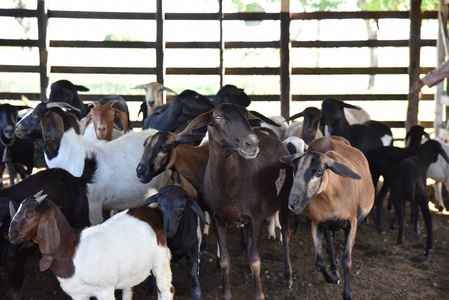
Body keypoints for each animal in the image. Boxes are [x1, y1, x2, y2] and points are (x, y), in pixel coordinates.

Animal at [8, 192, 174, 300]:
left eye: (29, 214)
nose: (10, 234)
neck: (72, 250)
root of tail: (151, 211)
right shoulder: (78, 294)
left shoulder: (105, 291)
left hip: (161, 260)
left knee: (166, 289)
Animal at [178, 103, 294, 300]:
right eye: (218, 118)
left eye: (246, 116)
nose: (252, 143)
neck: (229, 186)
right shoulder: (217, 219)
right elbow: (225, 261)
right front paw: (226, 294)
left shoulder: (256, 217)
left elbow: (256, 261)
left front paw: (259, 295)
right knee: (248, 237)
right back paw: (247, 271)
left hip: (285, 200)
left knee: (286, 235)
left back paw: (287, 277)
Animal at [280, 136, 374, 300]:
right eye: (293, 169)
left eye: (319, 171)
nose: (293, 203)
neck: (330, 196)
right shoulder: (316, 223)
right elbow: (319, 262)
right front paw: (332, 277)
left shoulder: (352, 222)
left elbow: (347, 261)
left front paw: (347, 293)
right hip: (327, 224)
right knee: (330, 241)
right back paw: (334, 268)